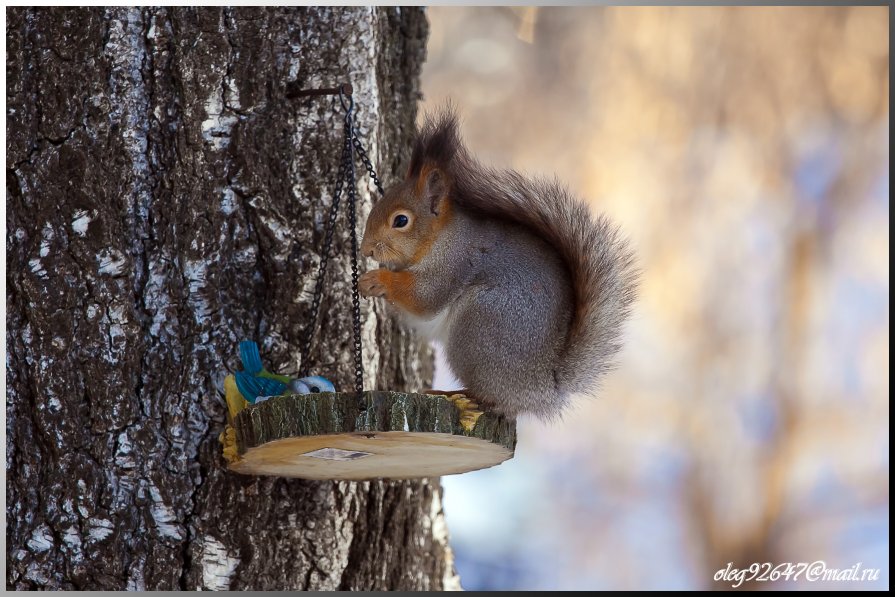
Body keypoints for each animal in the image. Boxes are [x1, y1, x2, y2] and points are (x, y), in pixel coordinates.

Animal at [356, 107, 636, 422]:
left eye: (401, 220)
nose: (366, 249)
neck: (439, 238)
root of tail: (542, 388)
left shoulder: (454, 263)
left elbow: (425, 298)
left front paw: (377, 280)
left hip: (480, 323)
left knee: (494, 400)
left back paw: (456, 394)